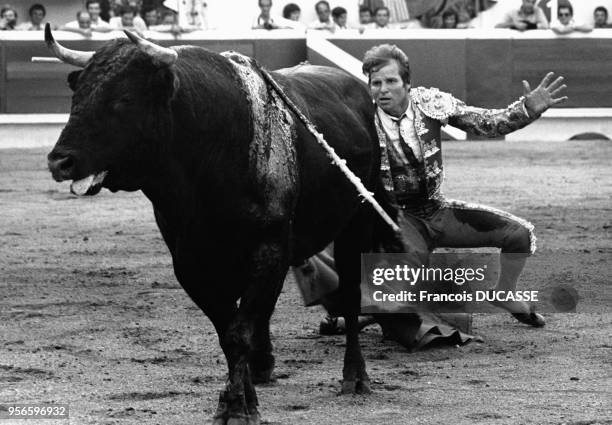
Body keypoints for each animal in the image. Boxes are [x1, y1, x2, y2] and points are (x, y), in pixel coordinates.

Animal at [45, 27, 394, 424]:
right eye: (78, 95)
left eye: (124, 98)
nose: (60, 162)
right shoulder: (191, 263)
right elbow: (230, 330)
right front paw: (241, 399)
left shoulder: (269, 250)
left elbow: (238, 331)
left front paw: (237, 407)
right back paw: (264, 367)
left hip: (358, 225)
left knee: (349, 296)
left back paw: (355, 377)